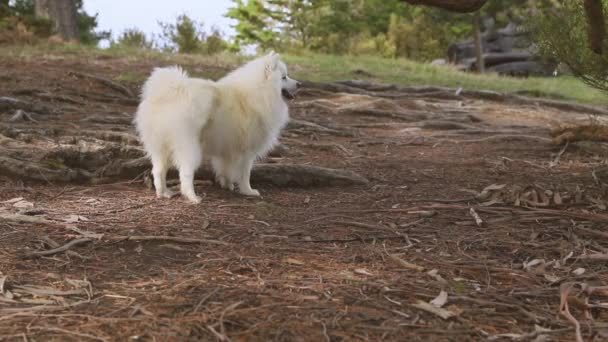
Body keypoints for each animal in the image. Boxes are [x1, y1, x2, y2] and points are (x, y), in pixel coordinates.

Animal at [135, 52, 302, 203]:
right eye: (284, 77)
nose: (300, 84)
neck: (259, 92)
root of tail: (170, 91)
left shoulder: (228, 149)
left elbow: (225, 169)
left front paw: (227, 185)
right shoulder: (246, 151)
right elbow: (245, 174)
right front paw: (248, 191)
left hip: (159, 146)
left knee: (158, 170)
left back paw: (163, 193)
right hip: (189, 146)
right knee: (185, 173)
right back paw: (193, 197)